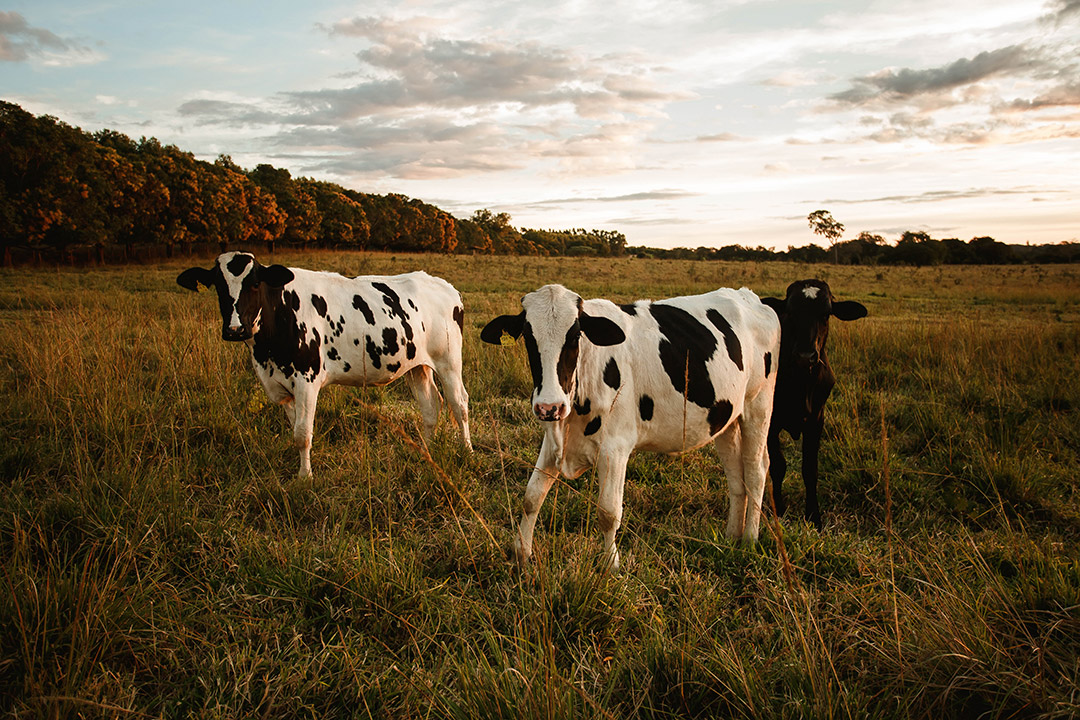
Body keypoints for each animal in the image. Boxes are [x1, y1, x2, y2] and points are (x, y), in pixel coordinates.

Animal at [178, 253, 473, 479]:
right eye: (218, 285)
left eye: (254, 284)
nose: (235, 329)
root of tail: (445, 286)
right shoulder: (280, 386)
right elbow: (295, 430)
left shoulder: (306, 380)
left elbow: (302, 433)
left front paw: (305, 477)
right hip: (416, 365)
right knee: (430, 405)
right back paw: (427, 451)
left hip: (448, 361)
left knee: (459, 403)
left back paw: (467, 451)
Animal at [486, 284, 781, 569]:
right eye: (528, 336)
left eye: (575, 336)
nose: (549, 406)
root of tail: (749, 296)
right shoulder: (553, 441)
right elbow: (531, 496)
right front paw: (521, 554)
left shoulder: (615, 448)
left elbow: (608, 511)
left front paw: (610, 564)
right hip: (726, 417)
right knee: (735, 475)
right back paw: (731, 537)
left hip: (758, 405)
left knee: (755, 470)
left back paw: (750, 539)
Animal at [760, 278, 868, 526]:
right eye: (790, 312)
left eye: (826, 314)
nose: (805, 356)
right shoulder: (772, 422)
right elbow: (778, 466)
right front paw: (780, 509)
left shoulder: (817, 420)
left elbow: (810, 469)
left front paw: (813, 516)